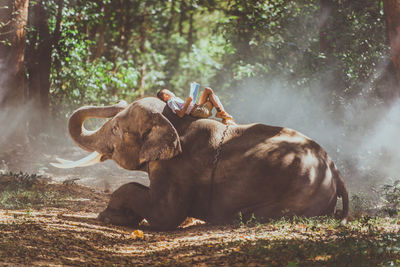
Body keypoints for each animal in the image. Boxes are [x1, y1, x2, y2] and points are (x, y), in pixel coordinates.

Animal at [57, 97, 348, 230]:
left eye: (117, 129)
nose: (118, 101)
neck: (176, 121)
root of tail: (336, 172)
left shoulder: (178, 166)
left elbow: (166, 215)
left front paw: (108, 217)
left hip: (301, 195)